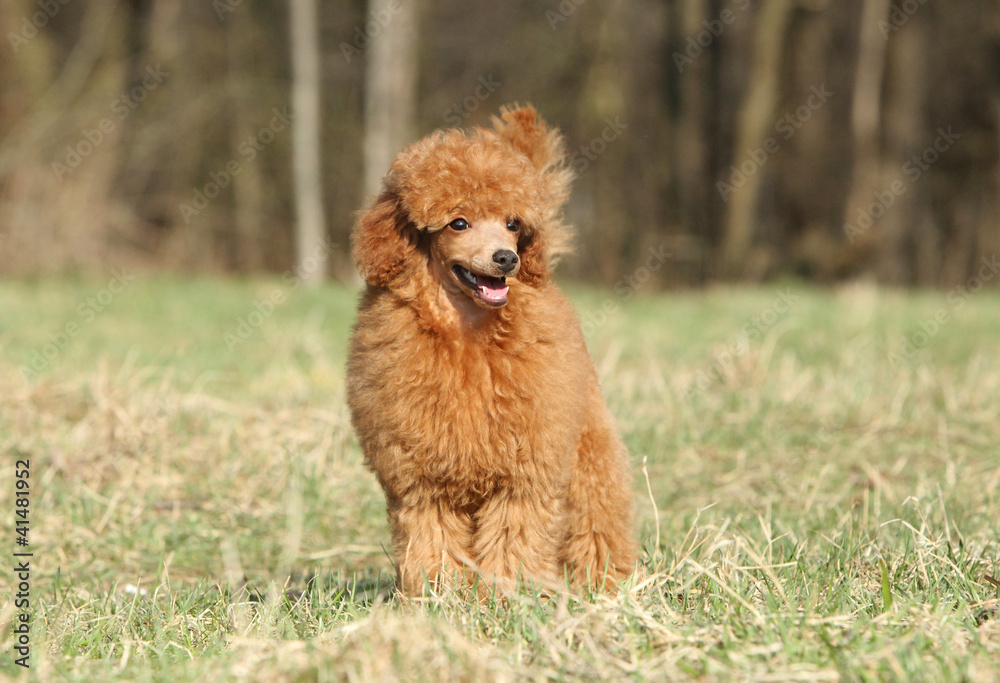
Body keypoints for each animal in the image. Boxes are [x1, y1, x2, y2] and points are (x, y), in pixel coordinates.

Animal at [348, 104, 636, 596]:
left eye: (512, 223)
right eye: (458, 223)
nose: (507, 258)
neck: (468, 329)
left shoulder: (524, 471)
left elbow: (513, 535)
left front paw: (509, 593)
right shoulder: (423, 478)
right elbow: (432, 538)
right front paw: (438, 594)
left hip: (586, 445)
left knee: (598, 513)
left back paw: (605, 583)